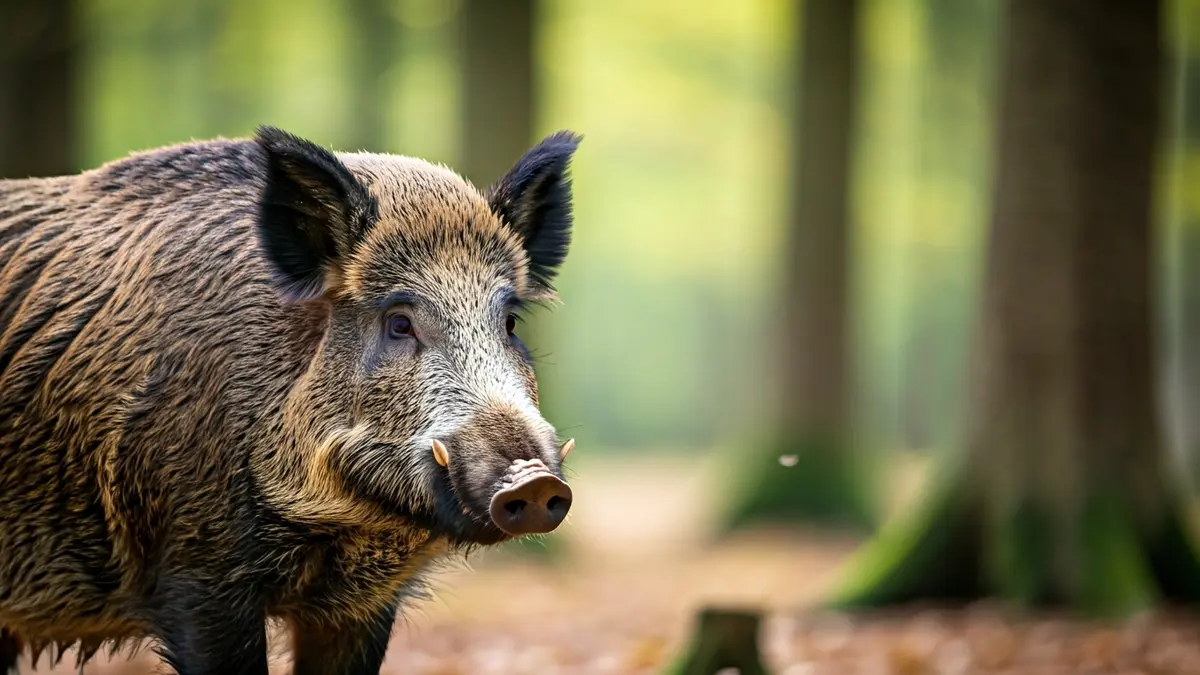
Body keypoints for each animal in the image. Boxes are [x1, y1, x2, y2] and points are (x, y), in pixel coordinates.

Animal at [0, 125, 581, 675]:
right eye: (399, 322)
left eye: (509, 322)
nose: (533, 481)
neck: (339, 524)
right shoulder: (196, 570)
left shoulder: (362, 604)